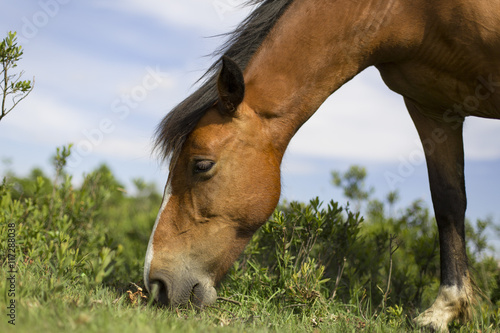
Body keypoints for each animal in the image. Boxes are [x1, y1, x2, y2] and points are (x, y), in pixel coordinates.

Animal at [143, 0, 498, 330]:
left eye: (201, 165)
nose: (156, 285)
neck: (412, 13)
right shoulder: (432, 108)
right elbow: (448, 203)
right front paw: (445, 310)